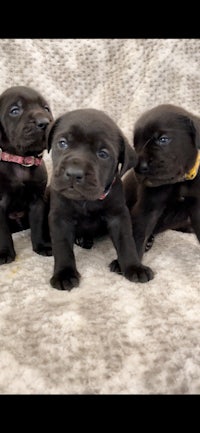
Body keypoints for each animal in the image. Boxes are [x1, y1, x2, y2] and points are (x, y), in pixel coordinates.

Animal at [0, 82, 53, 262]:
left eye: (46, 108)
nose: (45, 122)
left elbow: (37, 226)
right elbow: (2, 232)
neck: (20, 161)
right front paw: (4, 253)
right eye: (15, 110)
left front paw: (41, 246)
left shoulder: (37, 201)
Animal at [47, 108, 154, 290]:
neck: (86, 201)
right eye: (62, 143)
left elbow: (126, 242)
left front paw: (134, 267)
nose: (74, 173)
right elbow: (62, 247)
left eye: (103, 154)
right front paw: (64, 274)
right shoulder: (60, 218)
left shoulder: (118, 216)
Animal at [123, 104, 200, 260]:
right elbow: (139, 234)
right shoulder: (148, 208)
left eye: (163, 139)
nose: (140, 167)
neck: (178, 183)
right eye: (135, 144)